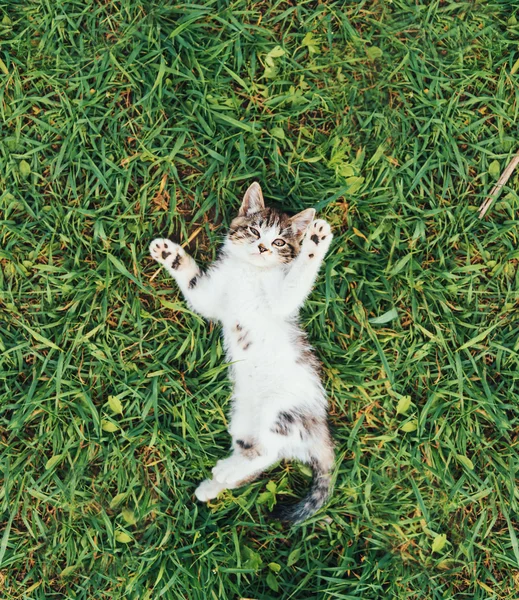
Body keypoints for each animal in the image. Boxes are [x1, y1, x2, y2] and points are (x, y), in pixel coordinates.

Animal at [149, 182, 338, 520]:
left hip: (280, 410)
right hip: (241, 421)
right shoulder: (210, 298)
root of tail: (319, 428)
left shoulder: (281, 302)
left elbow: (296, 281)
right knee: (257, 456)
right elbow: (192, 282)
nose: (263, 248)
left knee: (266, 451)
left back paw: (223, 473)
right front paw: (169, 253)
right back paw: (215, 483)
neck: (250, 272)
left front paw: (315, 241)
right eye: (253, 230)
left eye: (278, 241)